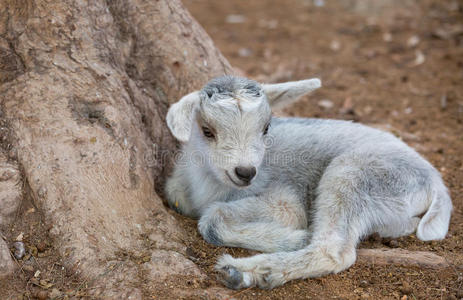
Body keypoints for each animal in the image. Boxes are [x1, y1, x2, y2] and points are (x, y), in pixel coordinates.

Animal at [166, 76, 454, 290]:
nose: (245, 172)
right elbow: (176, 195)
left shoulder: (284, 199)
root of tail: (435, 181)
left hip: (356, 175)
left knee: (334, 252)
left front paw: (297, 236)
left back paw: (247, 271)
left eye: (266, 128)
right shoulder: (177, 188)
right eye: (207, 131)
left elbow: (214, 218)